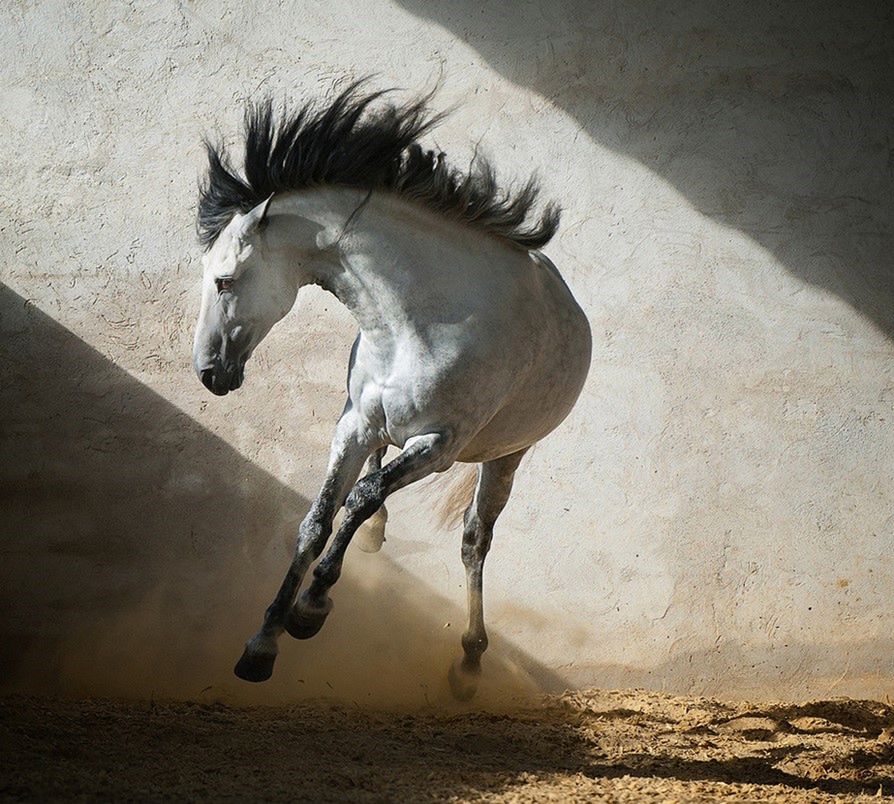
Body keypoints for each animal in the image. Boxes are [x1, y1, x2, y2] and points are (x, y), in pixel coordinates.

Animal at [192, 81, 592, 696]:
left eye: (224, 280)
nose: (209, 373)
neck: (417, 322)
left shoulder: (439, 447)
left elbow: (361, 498)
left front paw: (311, 609)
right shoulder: (354, 424)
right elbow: (318, 520)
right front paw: (261, 646)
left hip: (507, 455)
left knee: (474, 539)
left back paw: (470, 662)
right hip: (382, 424)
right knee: (380, 478)